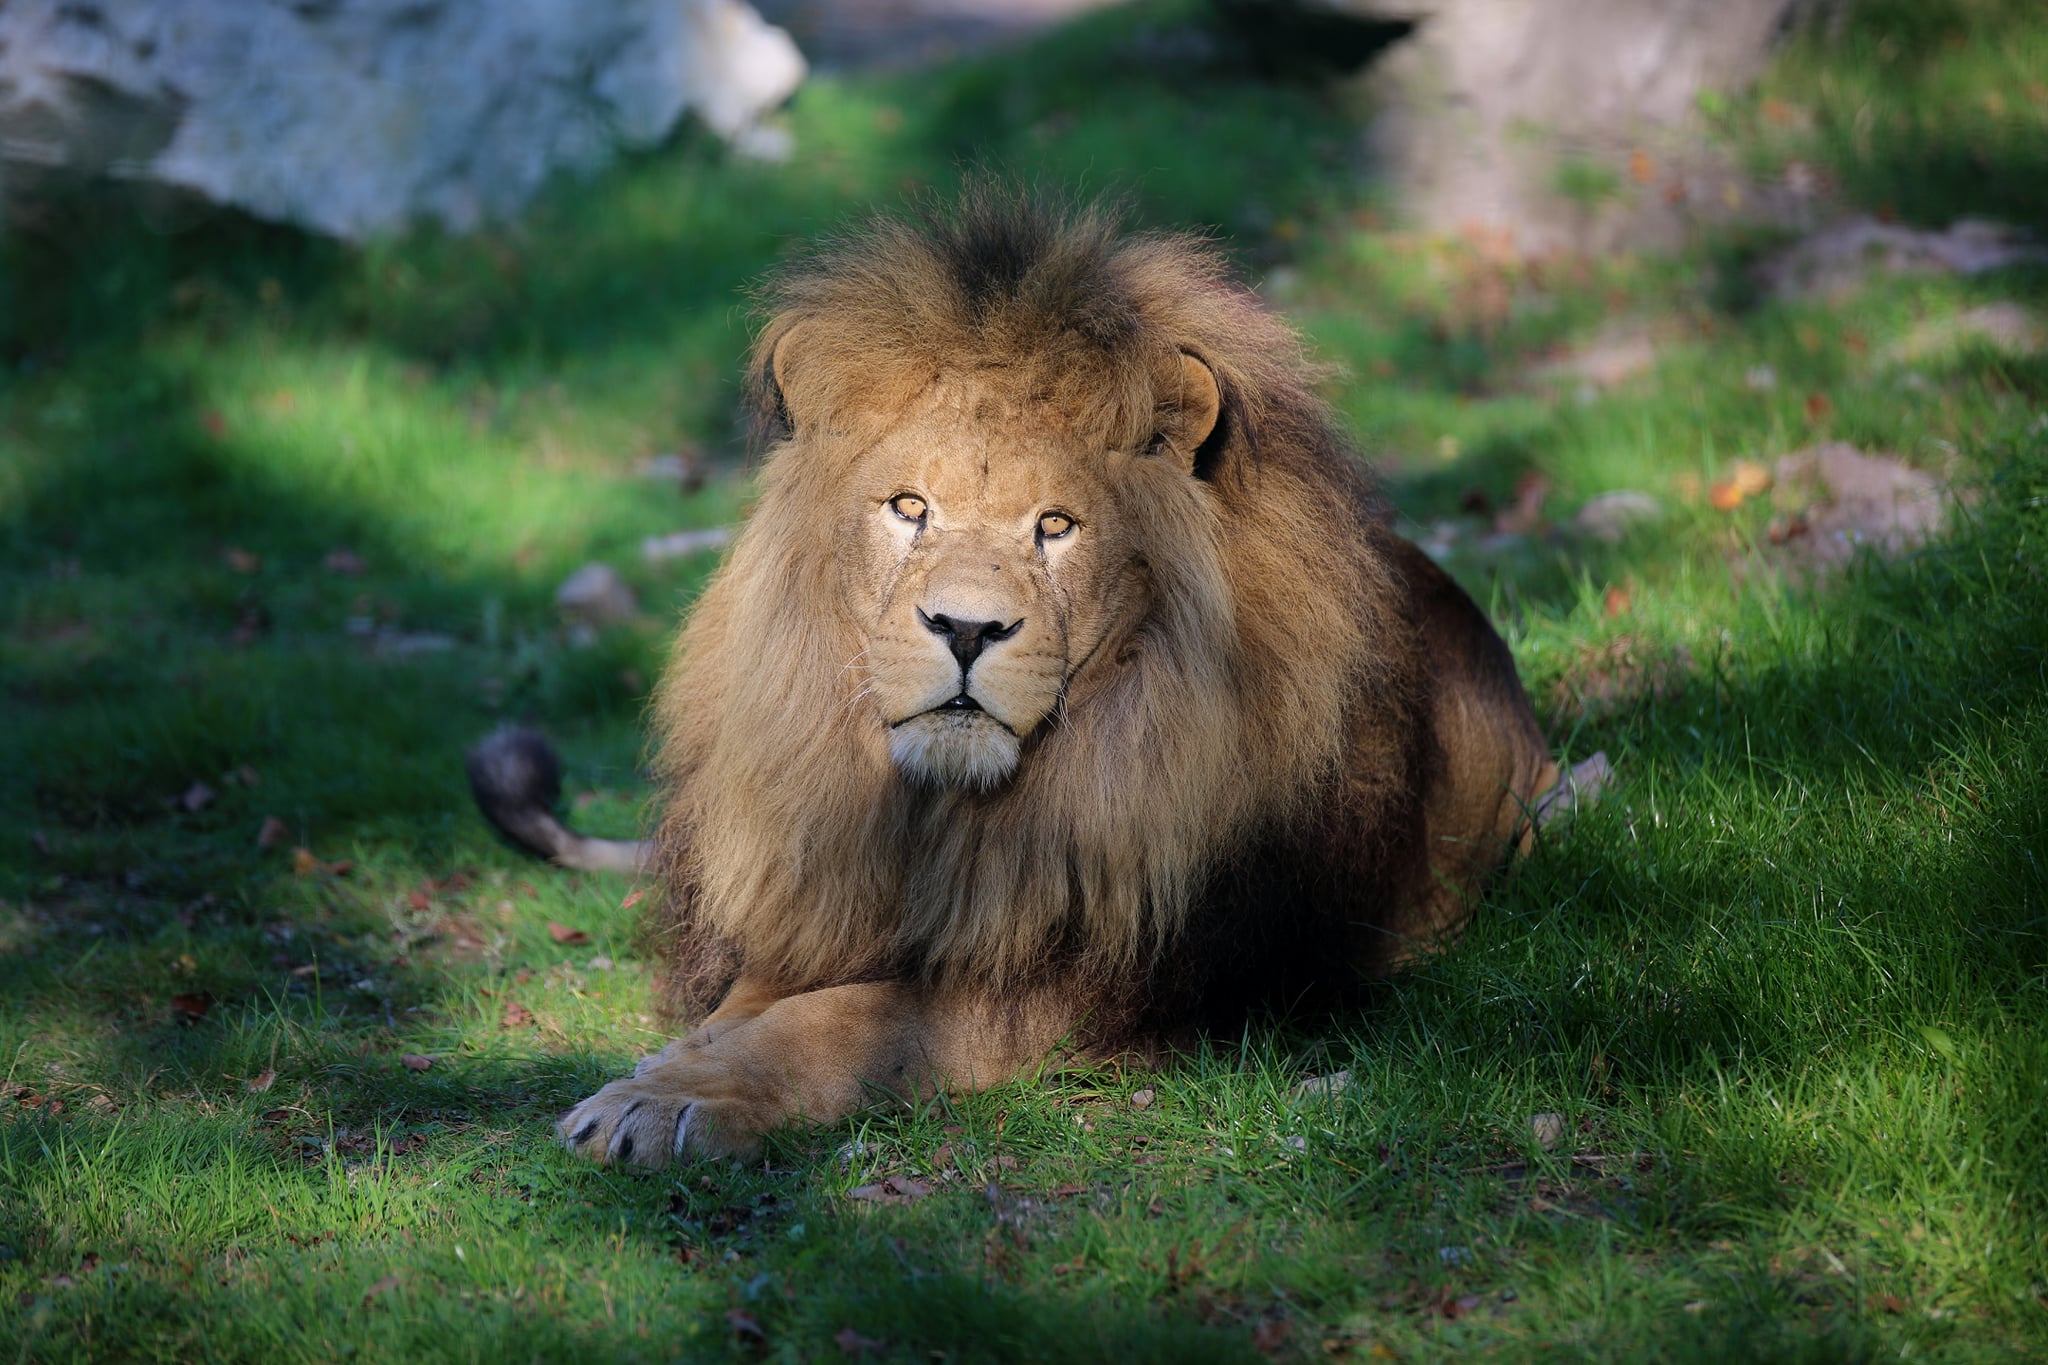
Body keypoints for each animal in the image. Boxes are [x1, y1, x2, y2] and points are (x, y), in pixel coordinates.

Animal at [470, 189, 1572, 1167]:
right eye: (908, 507)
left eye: (1055, 525)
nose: (966, 627)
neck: (943, 816)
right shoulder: (822, 907)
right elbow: (748, 1006)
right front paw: (663, 1068)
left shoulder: (1103, 980)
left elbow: (842, 1024)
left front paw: (668, 1101)